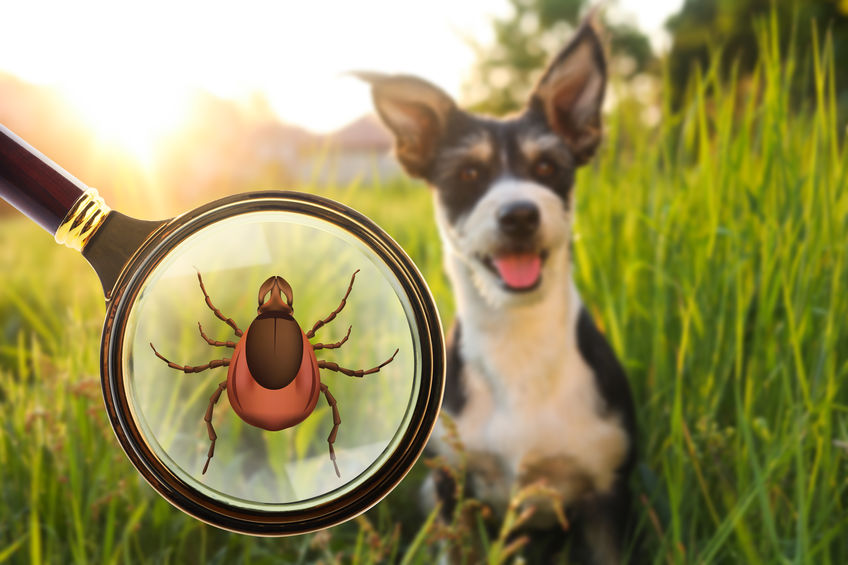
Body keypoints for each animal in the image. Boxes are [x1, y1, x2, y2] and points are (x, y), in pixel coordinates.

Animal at [356, 18, 636, 564]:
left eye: (547, 168)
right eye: (469, 174)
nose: (519, 214)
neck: (517, 337)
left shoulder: (607, 497)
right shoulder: (452, 487)